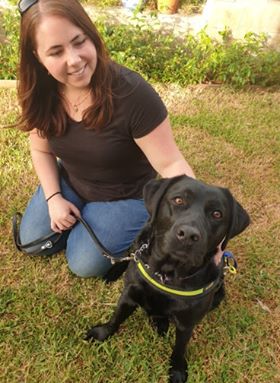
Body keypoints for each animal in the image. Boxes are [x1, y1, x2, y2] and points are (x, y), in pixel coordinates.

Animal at [85, 176, 249, 382]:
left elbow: (179, 348)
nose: (188, 234)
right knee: (129, 253)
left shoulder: (187, 322)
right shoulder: (129, 294)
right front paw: (102, 333)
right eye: (178, 200)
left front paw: (177, 370)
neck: (166, 275)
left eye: (217, 214)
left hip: (218, 296)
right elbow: (116, 317)